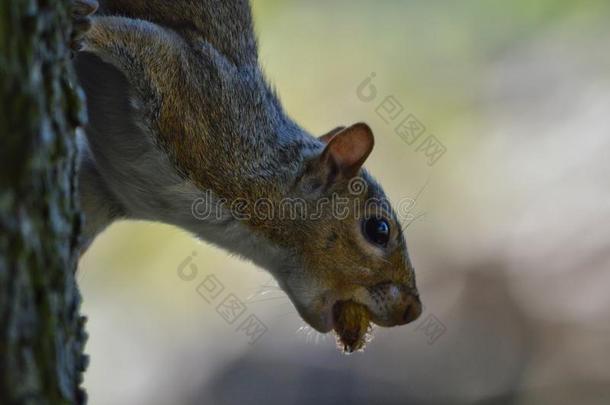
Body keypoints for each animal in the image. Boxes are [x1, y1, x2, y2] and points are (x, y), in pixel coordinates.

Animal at [71, 0, 420, 350]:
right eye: (378, 230)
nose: (412, 311)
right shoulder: (197, 95)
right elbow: (140, 41)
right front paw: (86, 27)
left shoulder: (110, 189)